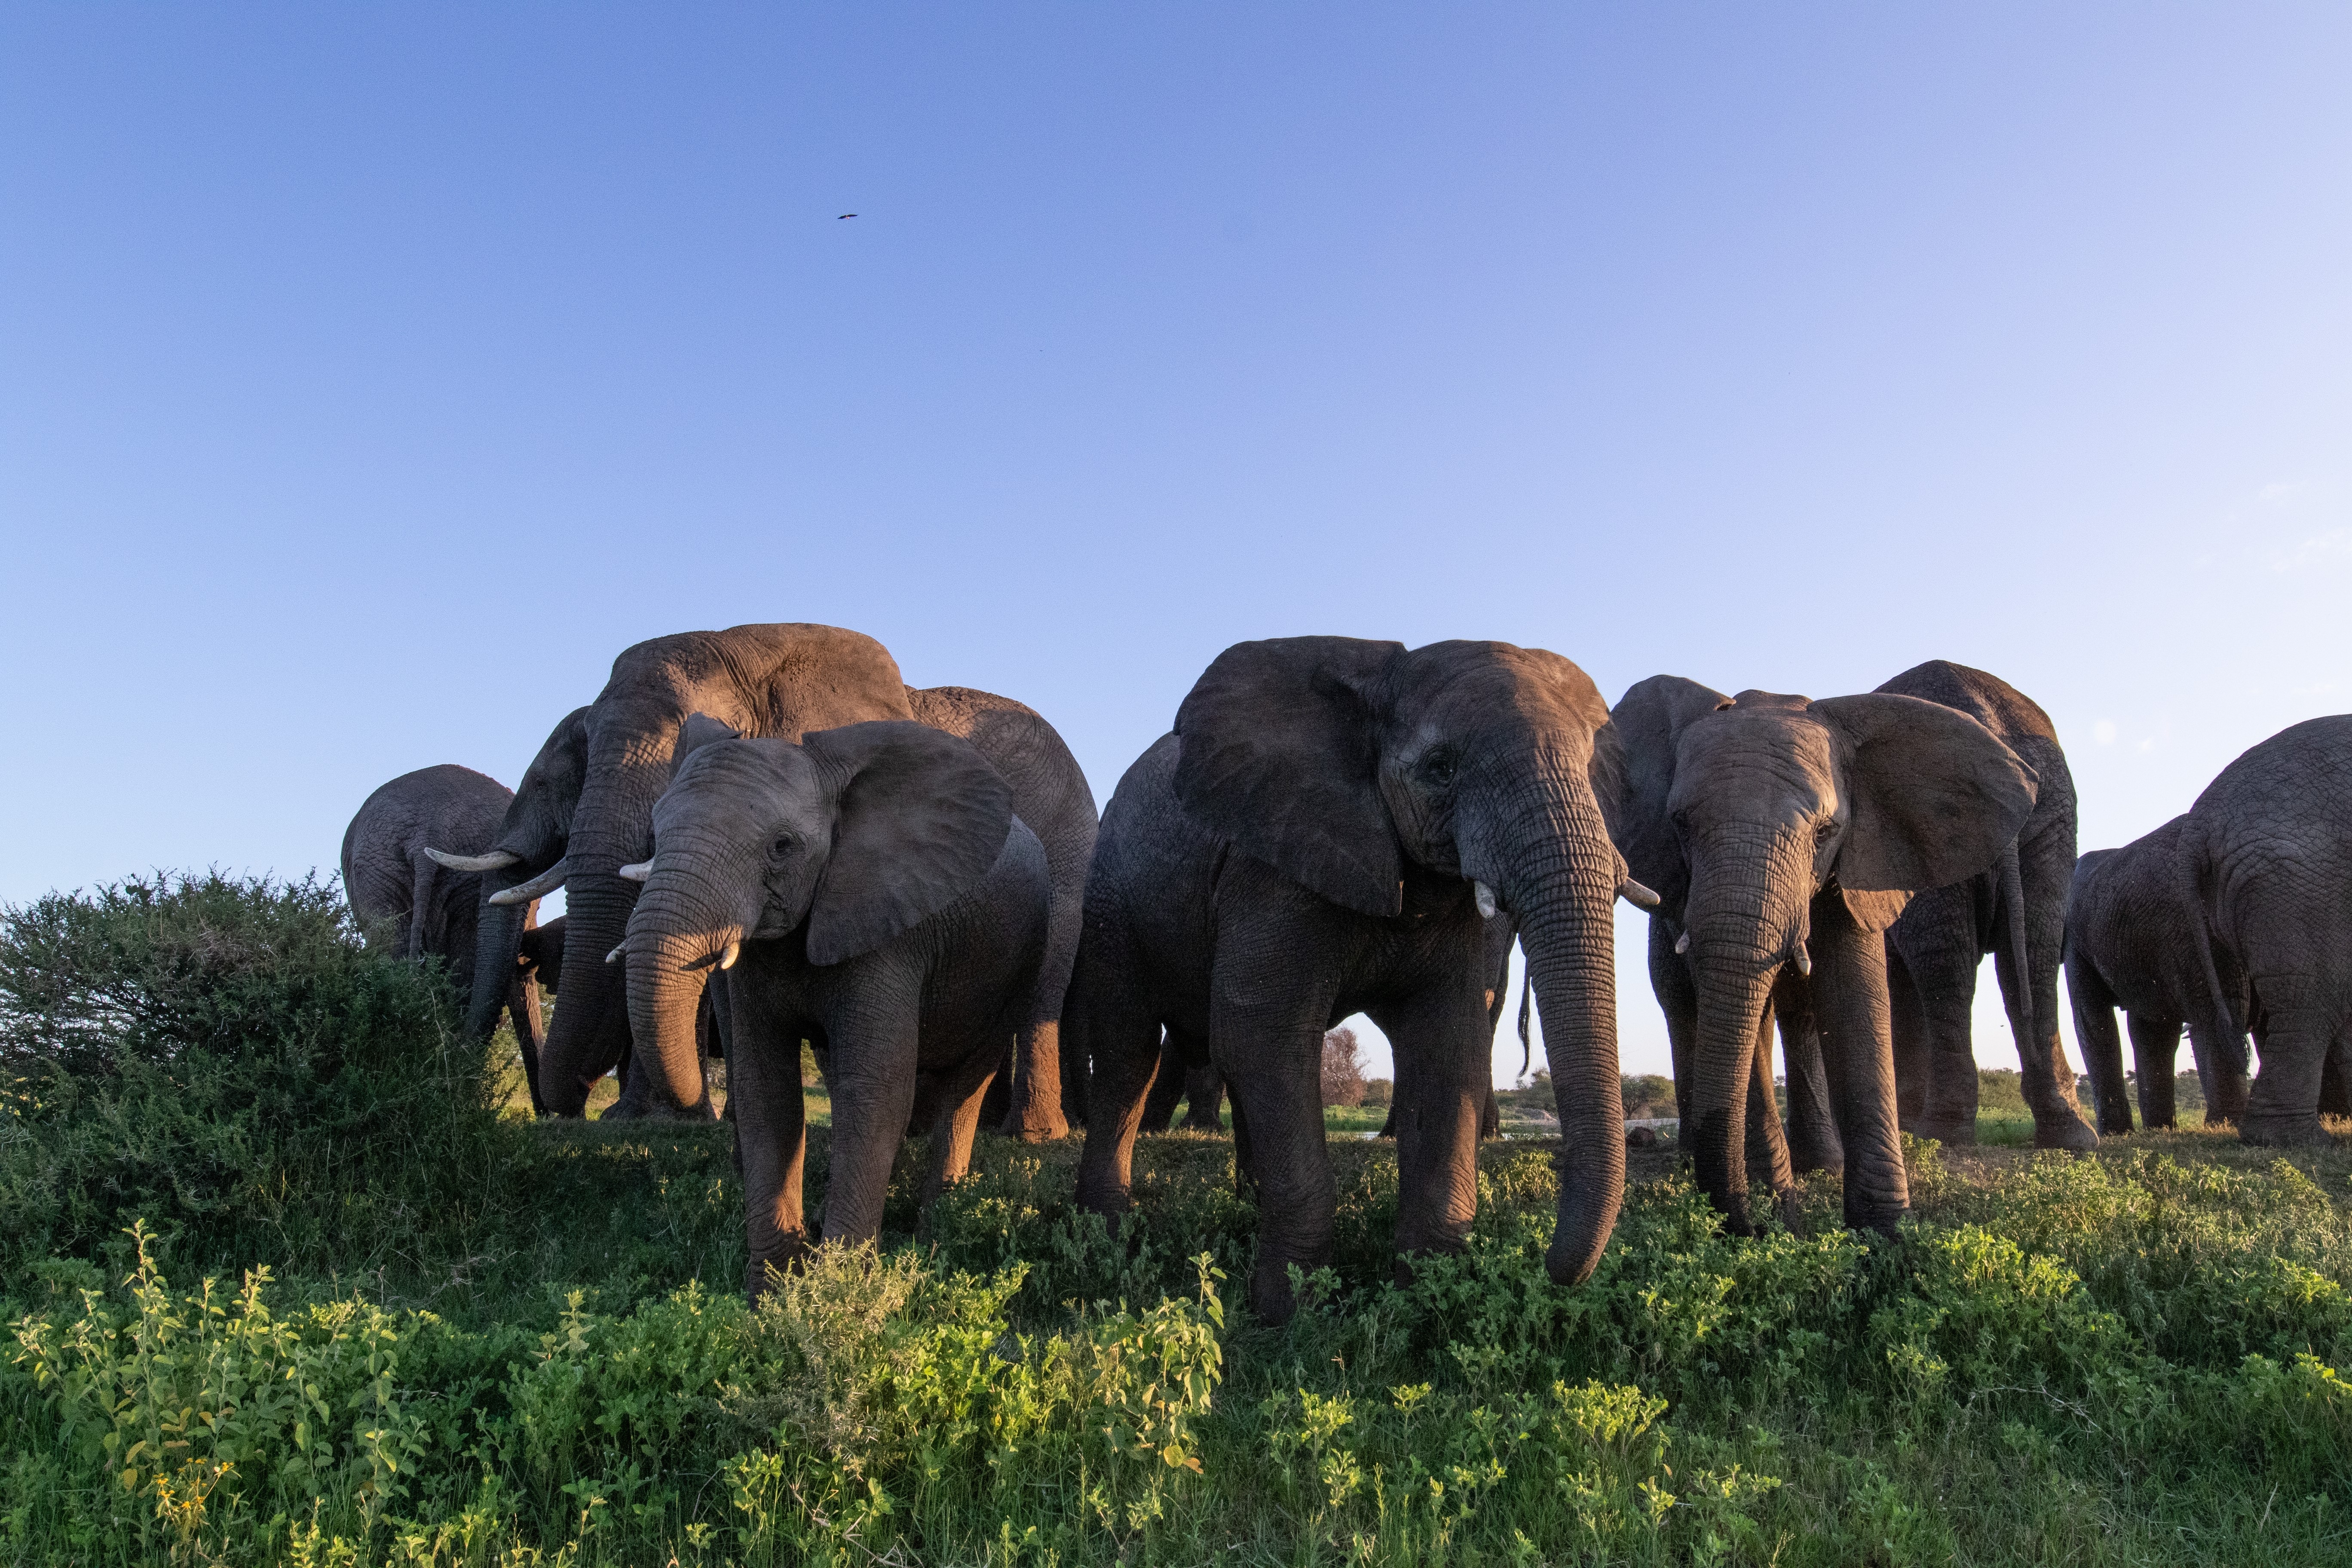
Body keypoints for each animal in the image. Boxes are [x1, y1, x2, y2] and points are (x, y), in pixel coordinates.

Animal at [423, 625, 1094, 1136]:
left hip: (1067, 852)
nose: (571, 1107)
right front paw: (677, 1124)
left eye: (678, 752)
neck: (747, 647)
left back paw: (1028, 1136)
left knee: (1043, 985)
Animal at [617, 718, 1050, 1294]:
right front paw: (773, 1293)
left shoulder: (890, 932)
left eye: (782, 847)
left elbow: (874, 1091)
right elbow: (766, 1090)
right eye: (654, 838)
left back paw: (935, 1234)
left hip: (1018, 962)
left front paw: (840, 1290)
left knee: (965, 1086)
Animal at [1071, 637, 1643, 1323]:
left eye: (1589, 766)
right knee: (1129, 1052)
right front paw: (1288, 1313)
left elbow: (1449, 1048)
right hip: (1111, 899)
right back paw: (1106, 1229)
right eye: (1441, 768)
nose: (1553, 1270)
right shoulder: (1270, 870)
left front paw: (1425, 1300)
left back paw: (1245, 1206)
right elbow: (1262, 1035)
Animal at [1599, 678, 2037, 1236]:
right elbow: (1739, 1010)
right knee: (1685, 1010)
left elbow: (1854, 998)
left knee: (1796, 1016)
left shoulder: (1861, 864)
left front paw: (1885, 1236)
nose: (1751, 1225)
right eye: (1680, 824)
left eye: (1825, 832)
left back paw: (1816, 1167)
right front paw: (1782, 1212)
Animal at [1876, 661, 2096, 1150]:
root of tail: (1984, 717)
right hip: (2050, 815)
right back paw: (2071, 1136)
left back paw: (1940, 1136)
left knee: (1946, 964)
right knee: (2032, 953)